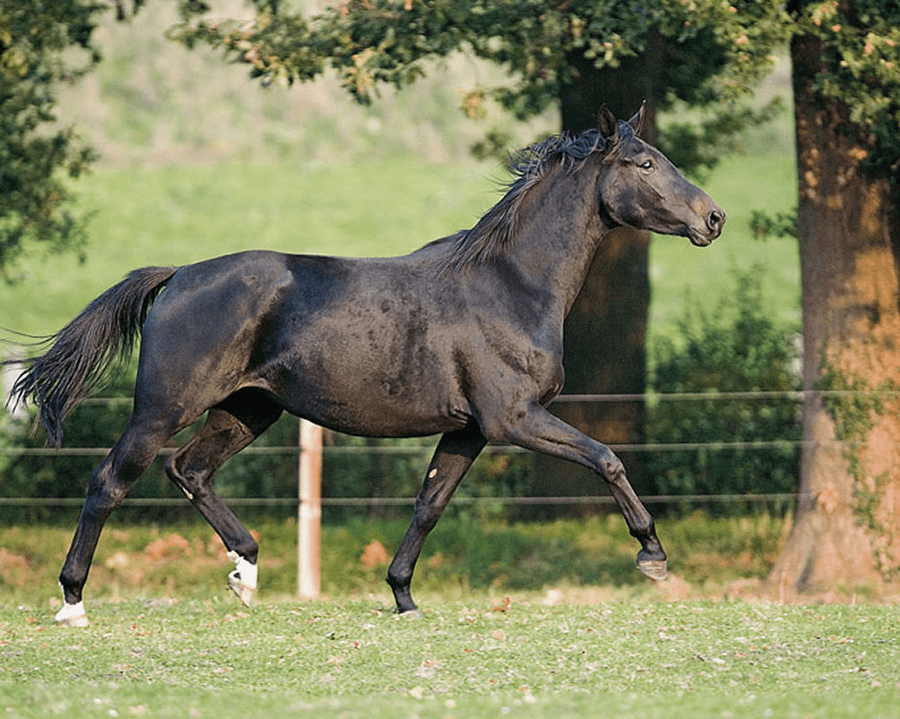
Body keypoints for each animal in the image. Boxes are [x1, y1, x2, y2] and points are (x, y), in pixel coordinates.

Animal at [8, 105, 724, 624]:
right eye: (644, 162)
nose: (713, 218)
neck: (511, 284)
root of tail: (180, 274)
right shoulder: (514, 419)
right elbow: (606, 457)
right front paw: (653, 555)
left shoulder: (469, 430)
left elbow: (429, 505)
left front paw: (403, 596)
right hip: (164, 407)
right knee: (110, 482)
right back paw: (72, 603)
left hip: (248, 409)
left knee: (189, 470)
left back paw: (246, 571)